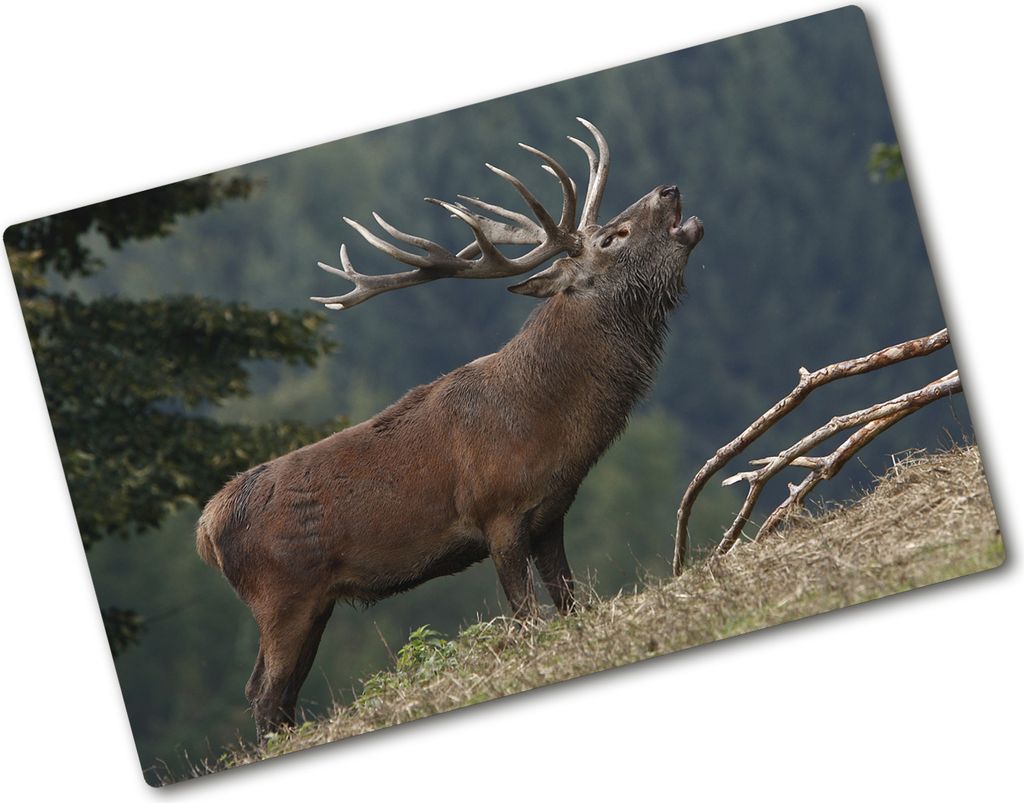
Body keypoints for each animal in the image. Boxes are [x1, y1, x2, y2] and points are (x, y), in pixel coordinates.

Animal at [196, 119, 703, 738]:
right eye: (613, 237)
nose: (668, 189)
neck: (550, 422)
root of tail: (205, 530)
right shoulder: (497, 512)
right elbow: (527, 620)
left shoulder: (551, 512)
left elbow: (570, 605)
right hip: (280, 596)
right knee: (265, 697)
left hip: (313, 602)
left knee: (275, 696)